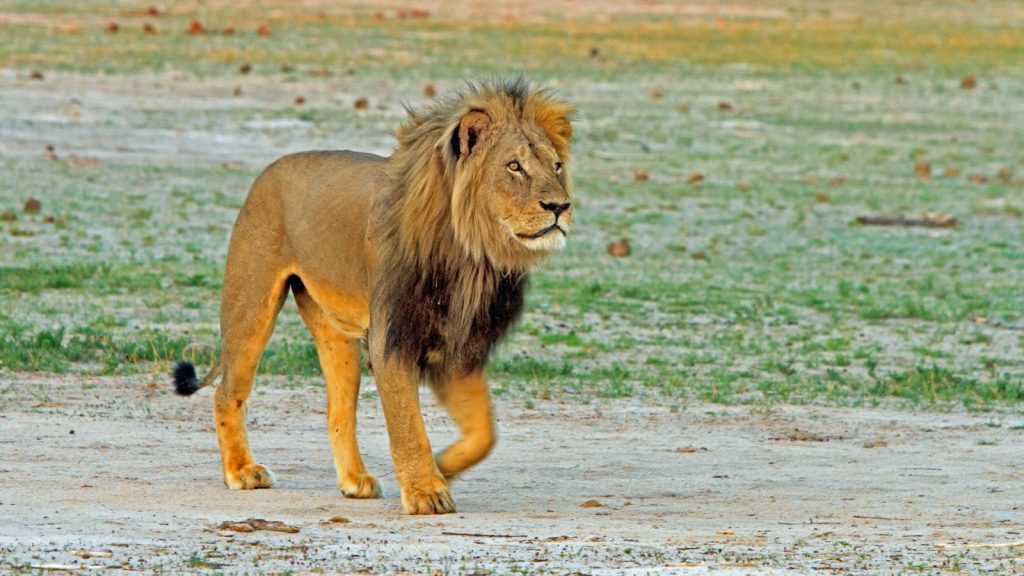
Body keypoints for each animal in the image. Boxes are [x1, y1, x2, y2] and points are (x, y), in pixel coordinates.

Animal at [172, 78, 573, 515]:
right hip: (251, 306)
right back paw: (242, 470)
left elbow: (484, 433)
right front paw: (426, 492)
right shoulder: (392, 339)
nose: (560, 206)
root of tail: (268, 171)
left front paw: (443, 468)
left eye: (556, 166)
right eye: (514, 166)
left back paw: (354, 481)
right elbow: (407, 424)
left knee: (337, 411)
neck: (472, 255)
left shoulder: (458, 349)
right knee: (227, 392)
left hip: (336, 334)